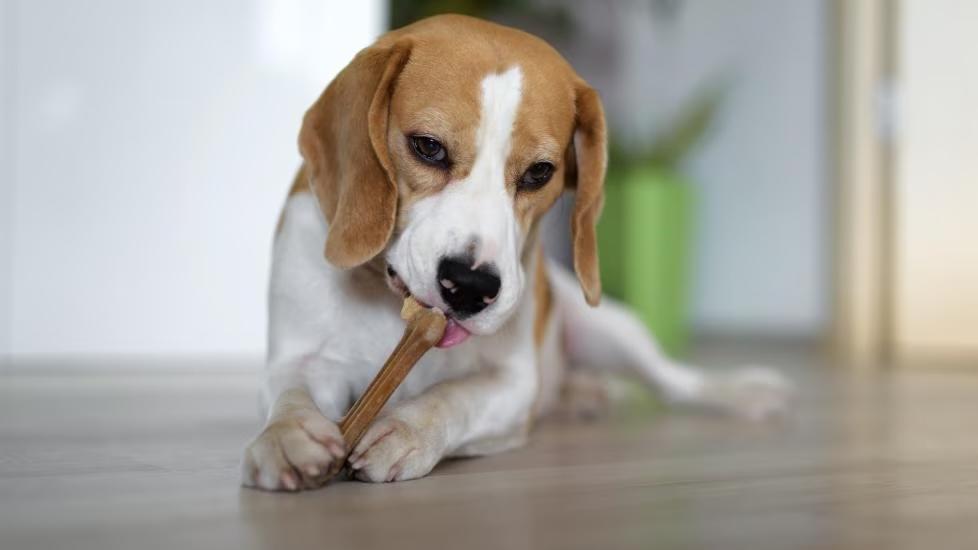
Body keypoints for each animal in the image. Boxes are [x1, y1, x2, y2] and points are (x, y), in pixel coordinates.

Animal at [240, 15, 788, 494]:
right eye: (428, 147)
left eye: (539, 173)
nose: (470, 286)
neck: (392, 307)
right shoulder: (301, 359)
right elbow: (290, 395)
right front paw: (287, 436)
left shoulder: (513, 383)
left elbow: (452, 397)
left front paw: (409, 429)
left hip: (611, 327)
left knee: (672, 379)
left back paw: (738, 392)